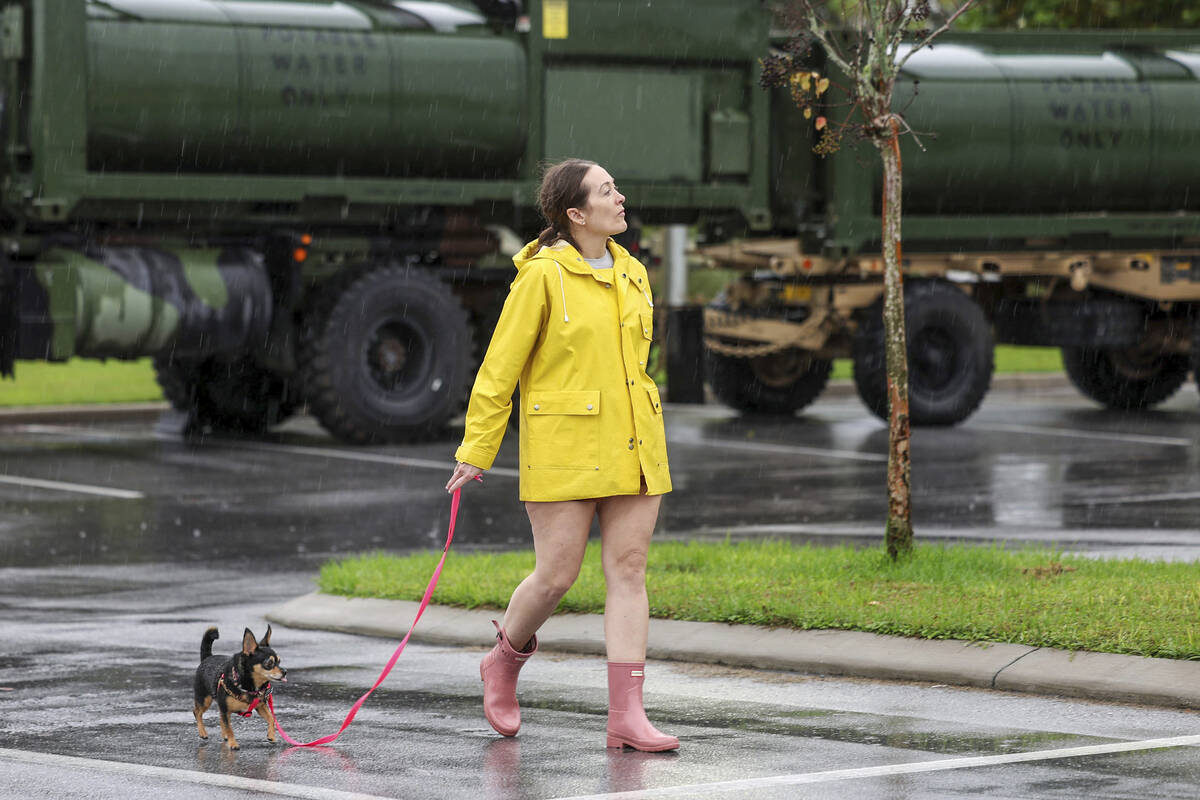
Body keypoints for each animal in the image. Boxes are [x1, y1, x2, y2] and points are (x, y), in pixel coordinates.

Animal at [193, 623, 286, 753]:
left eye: (279, 661)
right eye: (269, 663)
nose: (285, 672)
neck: (250, 687)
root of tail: (207, 657)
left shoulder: (261, 706)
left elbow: (271, 718)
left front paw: (271, 736)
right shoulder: (226, 709)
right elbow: (230, 728)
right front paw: (233, 744)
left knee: (220, 717)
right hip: (204, 700)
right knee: (197, 712)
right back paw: (203, 732)